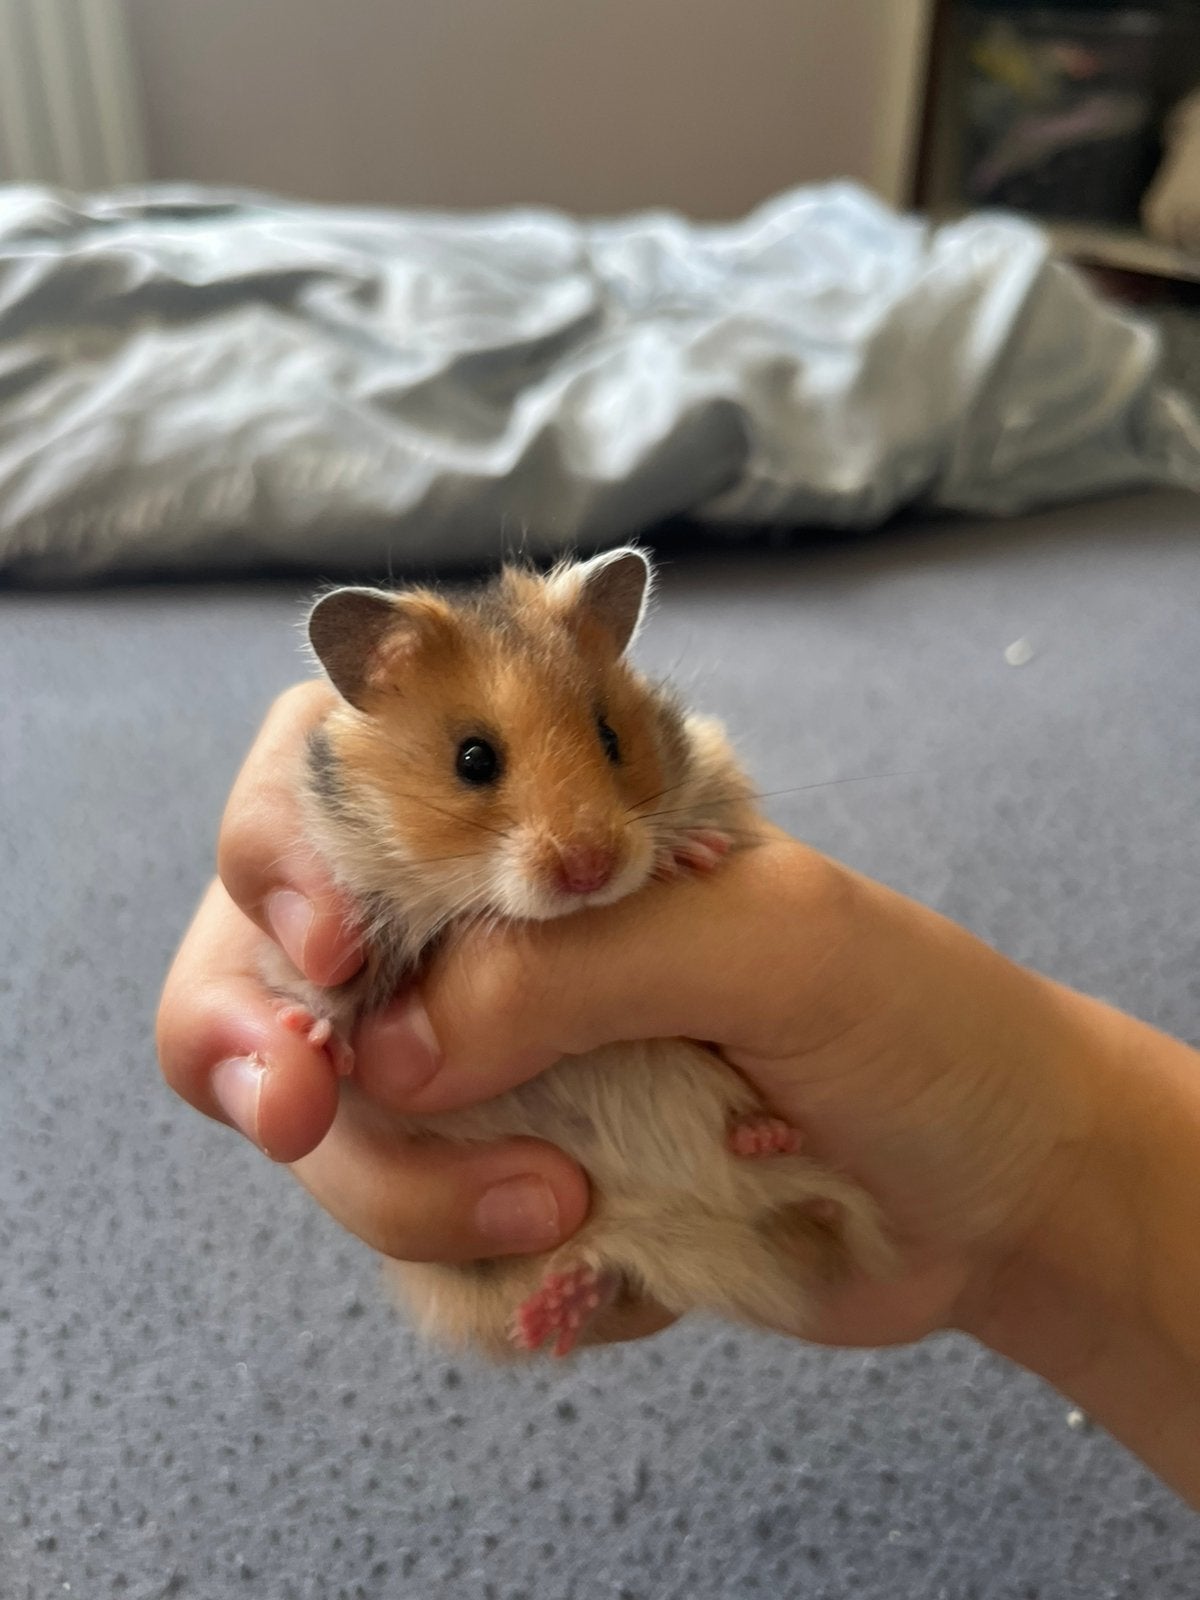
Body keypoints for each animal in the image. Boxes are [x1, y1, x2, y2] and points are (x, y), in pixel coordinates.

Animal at [262, 547, 892, 1359]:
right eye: (473, 759)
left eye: (610, 735)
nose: (592, 868)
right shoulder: (345, 905)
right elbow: (338, 989)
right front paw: (303, 1037)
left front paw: (691, 851)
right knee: (607, 1264)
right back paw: (555, 1308)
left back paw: (761, 1134)